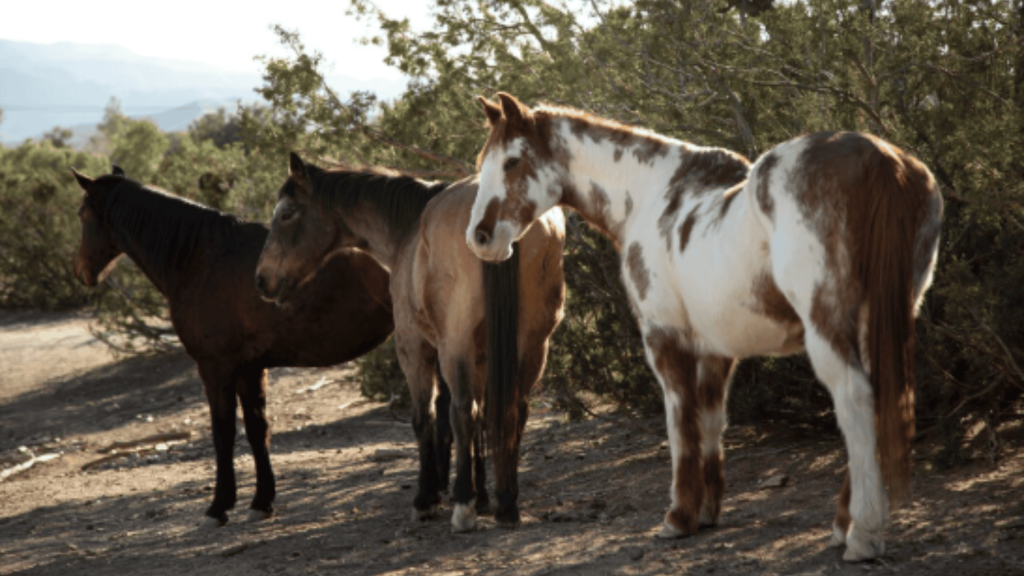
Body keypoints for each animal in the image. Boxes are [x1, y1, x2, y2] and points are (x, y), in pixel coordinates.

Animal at [71, 167, 397, 526]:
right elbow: (257, 431)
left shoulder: (216, 368)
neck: (200, 259)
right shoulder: (249, 368)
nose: (81, 272)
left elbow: (223, 433)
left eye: (82, 214)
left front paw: (219, 506)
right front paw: (262, 501)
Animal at [254, 154, 566, 532]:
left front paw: (428, 499)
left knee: (463, 411)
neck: (409, 230)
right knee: (514, 409)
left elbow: (427, 418)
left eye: (286, 214)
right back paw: (506, 503)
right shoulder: (481, 357)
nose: (262, 279)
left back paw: (463, 508)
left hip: (456, 345)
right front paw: (482, 497)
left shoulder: (414, 348)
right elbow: (479, 422)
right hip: (533, 345)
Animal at [465, 93, 943, 561]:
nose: (480, 238)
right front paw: (709, 510)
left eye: (512, 161)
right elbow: (712, 422)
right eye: (482, 162)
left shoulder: (663, 339)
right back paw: (845, 527)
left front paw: (678, 518)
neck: (648, 196)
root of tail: (879, 156)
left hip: (828, 328)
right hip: (877, 323)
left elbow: (682, 424)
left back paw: (863, 535)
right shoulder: (716, 350)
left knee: (855, 400)